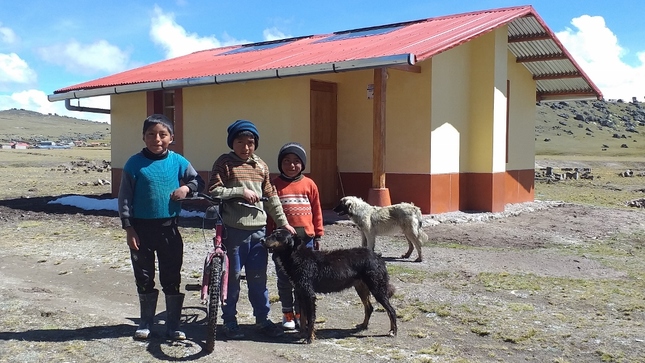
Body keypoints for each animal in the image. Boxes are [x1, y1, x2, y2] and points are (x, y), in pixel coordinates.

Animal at [262, 229, 398, 346]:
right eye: (272, 233)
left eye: (278, 236)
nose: (262, 240)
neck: (297, 256)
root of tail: (378, 257)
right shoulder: (300, 293)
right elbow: (303, 317)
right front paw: (301, 334)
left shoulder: (309, 294)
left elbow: (310, 318)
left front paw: (309, 338)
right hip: (361, 287)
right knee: (369, 308)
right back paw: (363, 326)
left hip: (377, 288)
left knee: (391, 310)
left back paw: (393, 331)